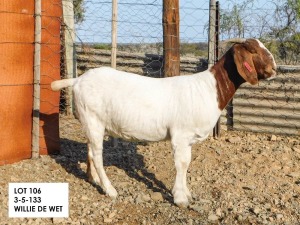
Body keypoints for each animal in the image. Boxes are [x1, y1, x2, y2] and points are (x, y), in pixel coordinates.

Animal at [51, 37, 276, 207]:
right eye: (253, 51)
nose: (274, 67)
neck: (209, 89)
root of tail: (78, 80)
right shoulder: (181, 135)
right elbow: (182, 164)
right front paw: (180, 199)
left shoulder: (188, 139)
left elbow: (187, 163)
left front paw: (187, 193)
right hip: (93, 119)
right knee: (98, 156)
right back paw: (110, 189)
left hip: (92, 123)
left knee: (90, 150)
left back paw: (93, 179)